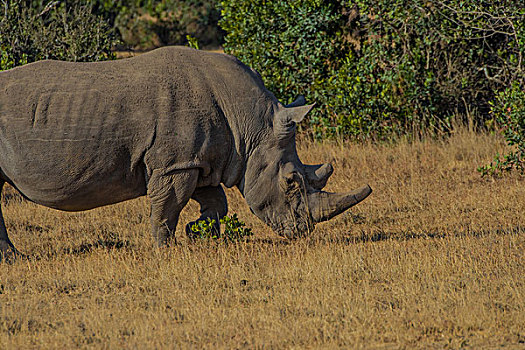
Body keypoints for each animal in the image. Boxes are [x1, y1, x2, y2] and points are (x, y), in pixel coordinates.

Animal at [0, 45, 368, 260]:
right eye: (292, 181)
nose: (303, 231)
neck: (251, 125)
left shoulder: (202, 160)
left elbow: (216, 203)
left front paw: (198, 234)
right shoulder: (174, 164)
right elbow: (168, 207)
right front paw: (166, 251)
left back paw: (13, 258)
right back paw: (14, 259)